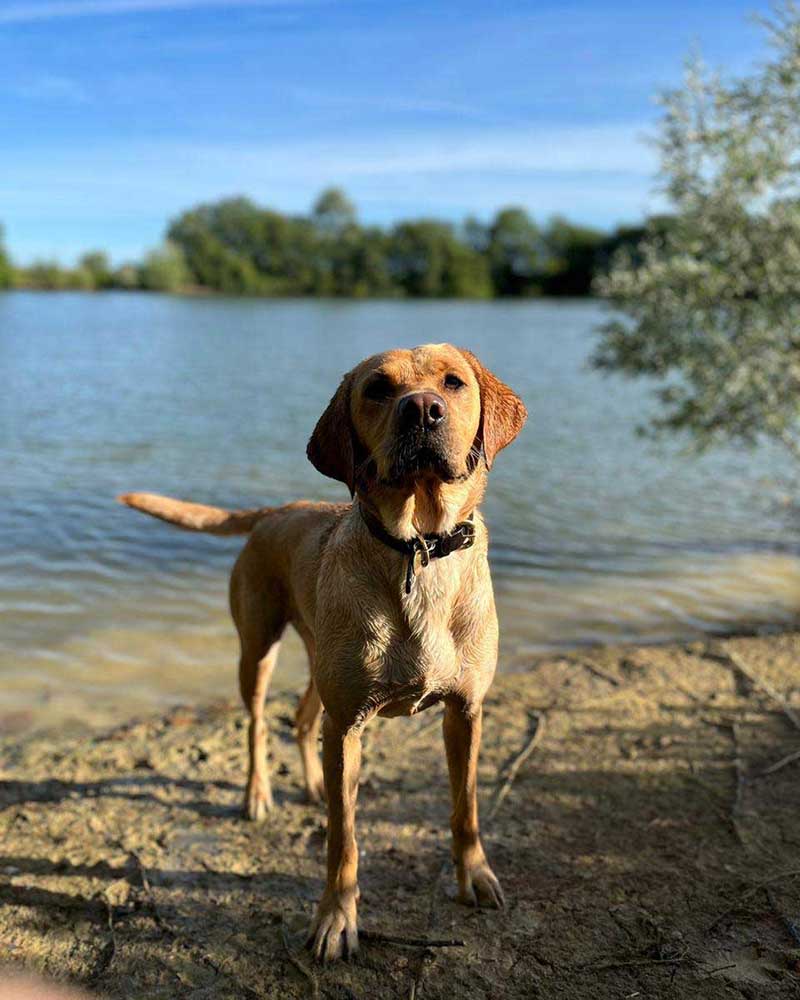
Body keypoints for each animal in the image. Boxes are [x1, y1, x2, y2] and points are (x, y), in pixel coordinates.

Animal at [119, 344, 524, 960]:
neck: (418, 546)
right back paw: (258, 794)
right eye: (377, 389)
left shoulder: (465, 711)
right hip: (258, 649)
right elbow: (344, 840)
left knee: (303, 716)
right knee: (258, 722)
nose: (423, 410)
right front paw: (336, 919)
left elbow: (466, 809)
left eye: (453, 383)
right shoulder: (350, 722)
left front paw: (475, 876)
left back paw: (309, 784)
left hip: (320, 663)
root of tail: (276, 510)